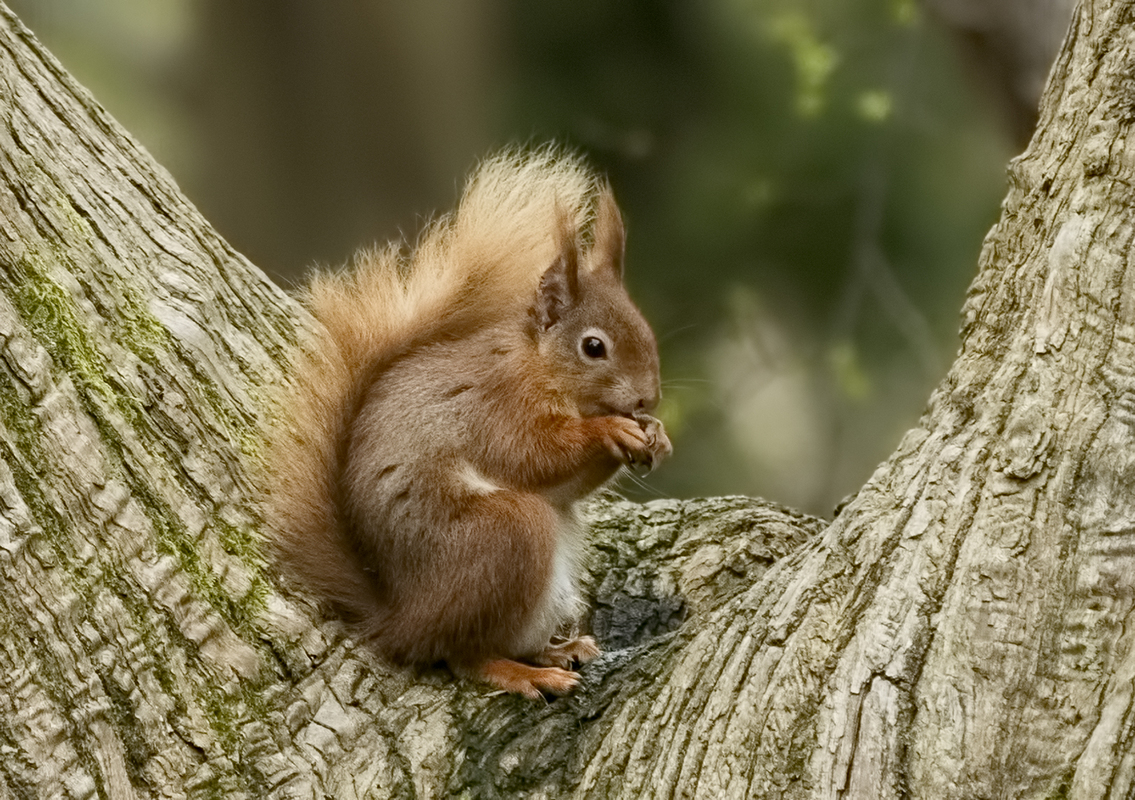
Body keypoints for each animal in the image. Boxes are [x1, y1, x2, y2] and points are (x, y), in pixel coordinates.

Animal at [266, 148, 671, 699]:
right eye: (594, 347)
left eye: (646, 330)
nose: (648, 397)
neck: (536, 363)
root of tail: (402, 619)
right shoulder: (495, 405)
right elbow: (532, 456)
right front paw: (609, 431)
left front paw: (656, 434)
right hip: (506, 534)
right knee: (464, 655)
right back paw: (526, 672)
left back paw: (557, 649)